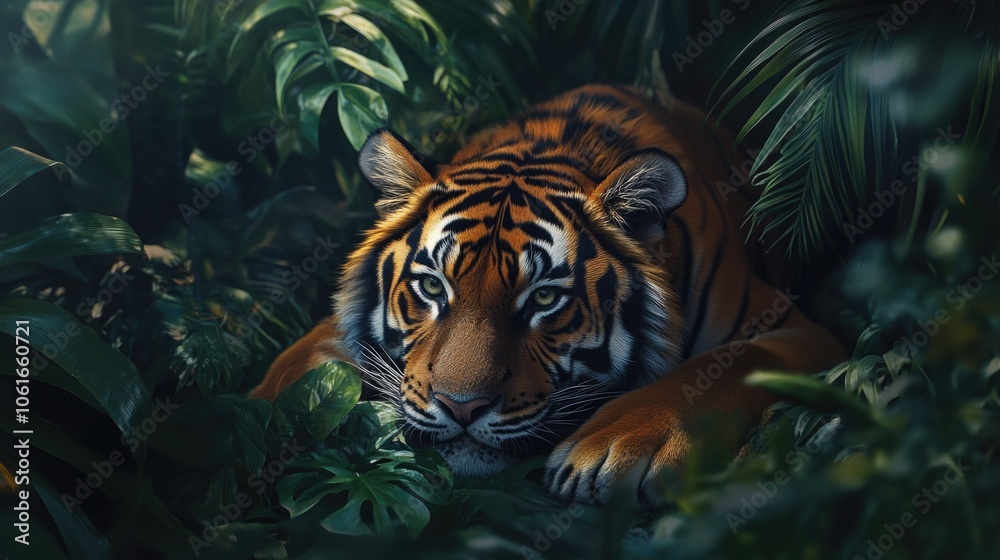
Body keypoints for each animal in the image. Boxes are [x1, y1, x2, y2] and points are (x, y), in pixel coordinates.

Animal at [249, 84, 845, 506]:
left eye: (542, 301)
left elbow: (728, 362)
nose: (461, 408)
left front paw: (610, 447)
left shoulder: (793, 327)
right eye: (432, 286)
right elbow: (295, 364)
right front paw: (263, 425)